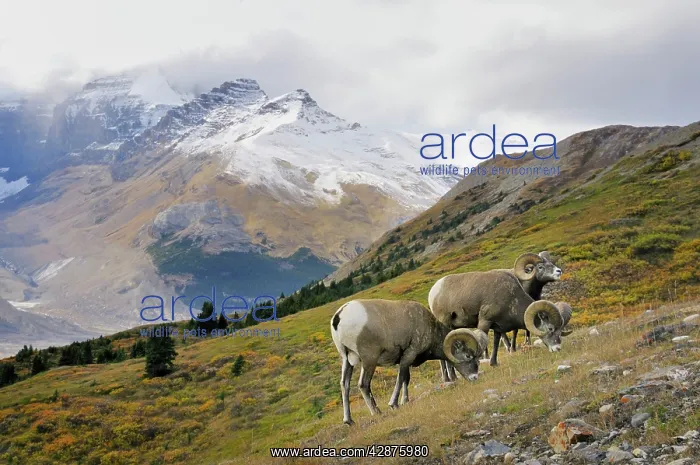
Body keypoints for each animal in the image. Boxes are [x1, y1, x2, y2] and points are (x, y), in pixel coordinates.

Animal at [330, 299, 488, 425]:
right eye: (468, 355)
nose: (475, 377)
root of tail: (339, 317)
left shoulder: (407, 360)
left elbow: (406, 379)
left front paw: (404, 401)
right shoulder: (408, 355)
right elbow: (401, 378)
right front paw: (394, 404)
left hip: (347, 361)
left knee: (344, 385)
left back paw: (349, 421)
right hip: (369, 361)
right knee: (363, 384)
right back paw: (377, 412)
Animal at [428, 269, 572, 380]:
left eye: (560, 331)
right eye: (550, 328)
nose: (557, 348)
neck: (511, 298)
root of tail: (433, 292)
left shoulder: (497, 328)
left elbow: (496, 343)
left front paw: (494, 363)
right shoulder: (485, 322)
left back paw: (448, 379)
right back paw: (452, 378)